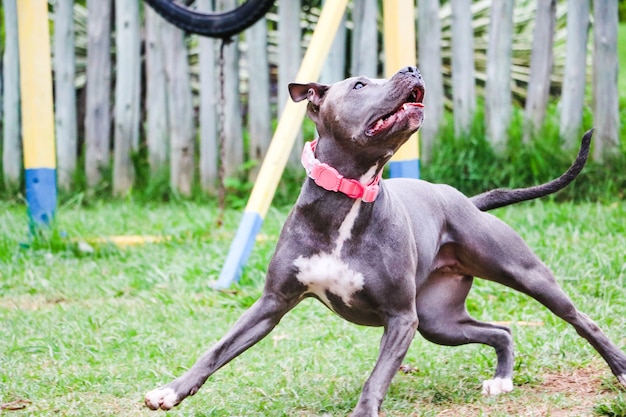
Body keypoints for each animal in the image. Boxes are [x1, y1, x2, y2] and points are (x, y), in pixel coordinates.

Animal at [143, 66, 624, 414]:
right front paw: (170, 391)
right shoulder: (271, 304)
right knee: (500, 330)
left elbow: (375, 378)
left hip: (521, 276)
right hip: (439, 322)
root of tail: (463, 200)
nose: (410, 67)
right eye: (359, 84)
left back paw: (618, 369)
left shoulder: (400, 319)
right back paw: (502, 379)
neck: (348, 196)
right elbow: (216, 349)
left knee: (583, 321)